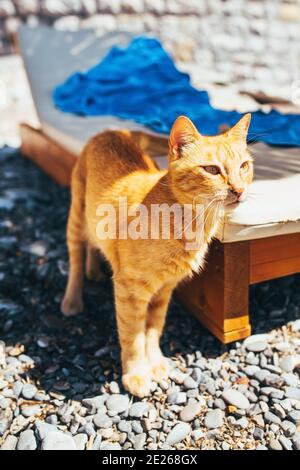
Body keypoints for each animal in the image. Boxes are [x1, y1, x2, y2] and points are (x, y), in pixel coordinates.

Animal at [61, 113, 253, 396]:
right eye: (212, 170)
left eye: (244, 166)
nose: (239, 190)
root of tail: (112, 131)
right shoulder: (129, 290)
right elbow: (132, 335)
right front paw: (136, 374)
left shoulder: (165, 290)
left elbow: (153, 329)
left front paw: (154, 362)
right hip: (76, 217)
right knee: (76, 258)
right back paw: (73, 300)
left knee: (95, 245)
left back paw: (94, 270)